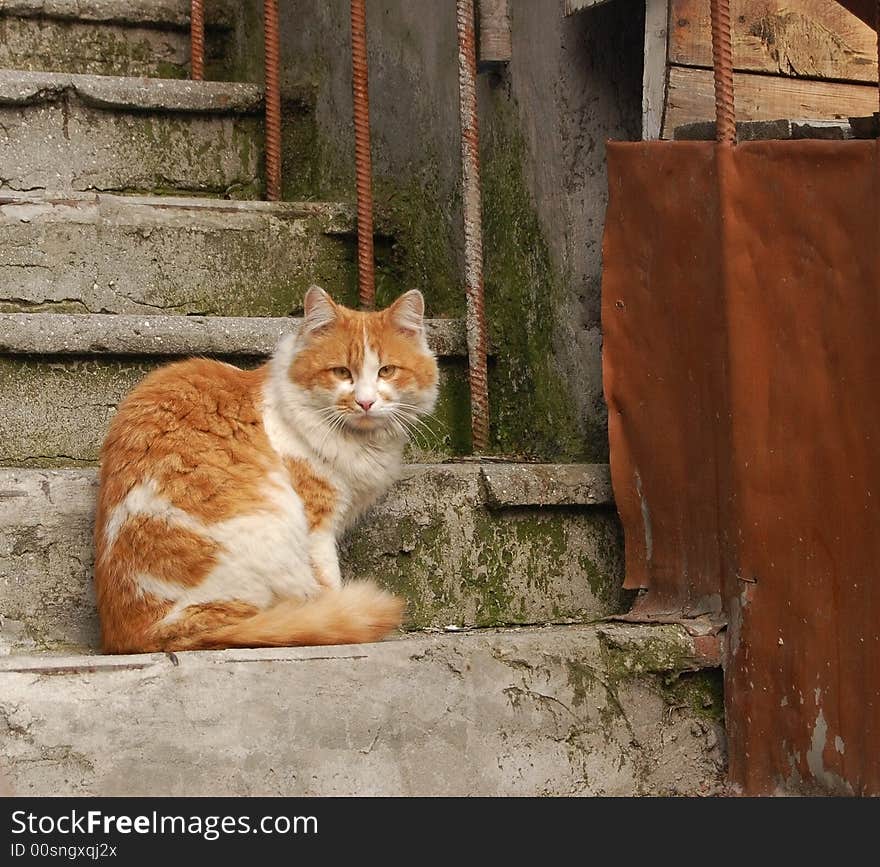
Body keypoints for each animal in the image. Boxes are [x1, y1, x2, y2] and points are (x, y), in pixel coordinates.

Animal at [92, 288, 436, 656]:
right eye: (342, 372)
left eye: (386, 371)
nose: (366, 402)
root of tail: (138, 635)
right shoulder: (317, 525)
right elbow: (328, 579)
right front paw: (335, 607)